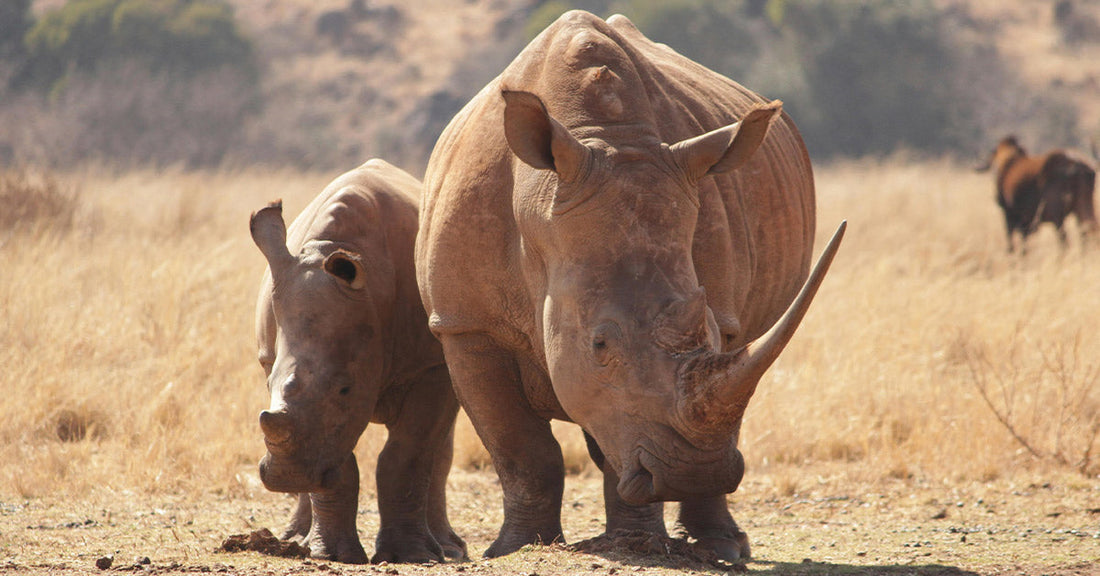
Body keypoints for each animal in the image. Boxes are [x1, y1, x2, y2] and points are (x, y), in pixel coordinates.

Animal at [250, 159, 467, 564]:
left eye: (345, 389)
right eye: (267, 382)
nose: (287, 478)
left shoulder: (430, 366)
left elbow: (408, 454)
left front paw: (412, 556)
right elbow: (337, 456)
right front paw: (332, 555)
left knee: (439, 446)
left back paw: (448, 549)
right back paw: (296, 539)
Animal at [416, 11, 844, 561]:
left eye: (711, 332)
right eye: (600, 344)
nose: (692, 474)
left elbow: (620, 430)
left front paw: (636, 543)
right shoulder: (465, 324)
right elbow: (519, 447)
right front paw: (515, 548)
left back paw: (722, 547)